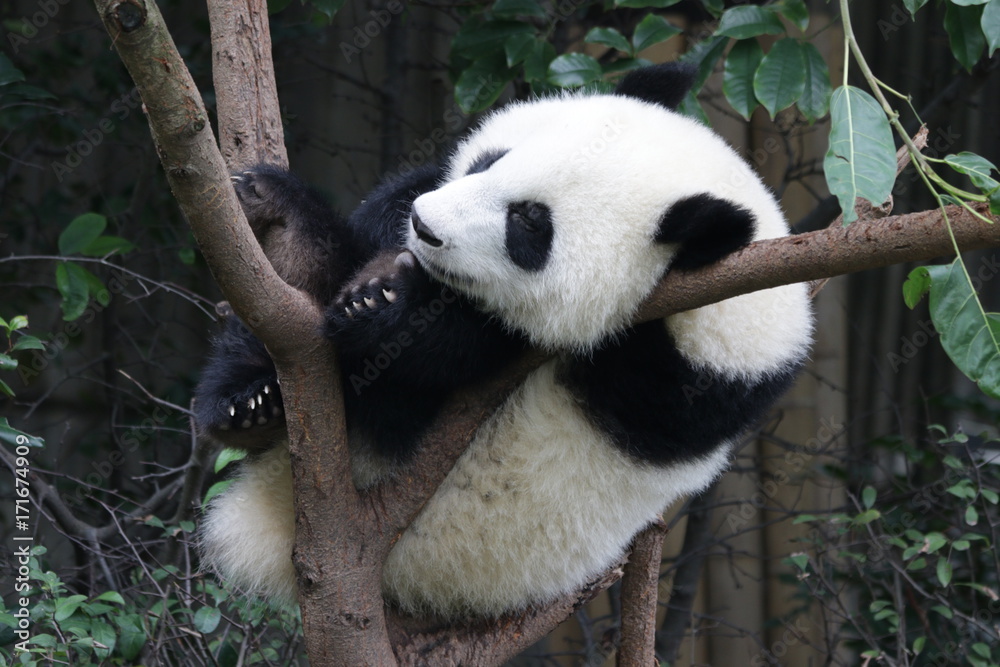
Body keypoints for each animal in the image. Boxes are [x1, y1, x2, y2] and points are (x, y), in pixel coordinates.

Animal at [194, 63, 813, 620]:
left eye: (529, 223)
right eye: (494, 160)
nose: (424, 227)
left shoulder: (665, 375)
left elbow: (457, 347)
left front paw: (383, 306)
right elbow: (390, 206)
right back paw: (255, 380)